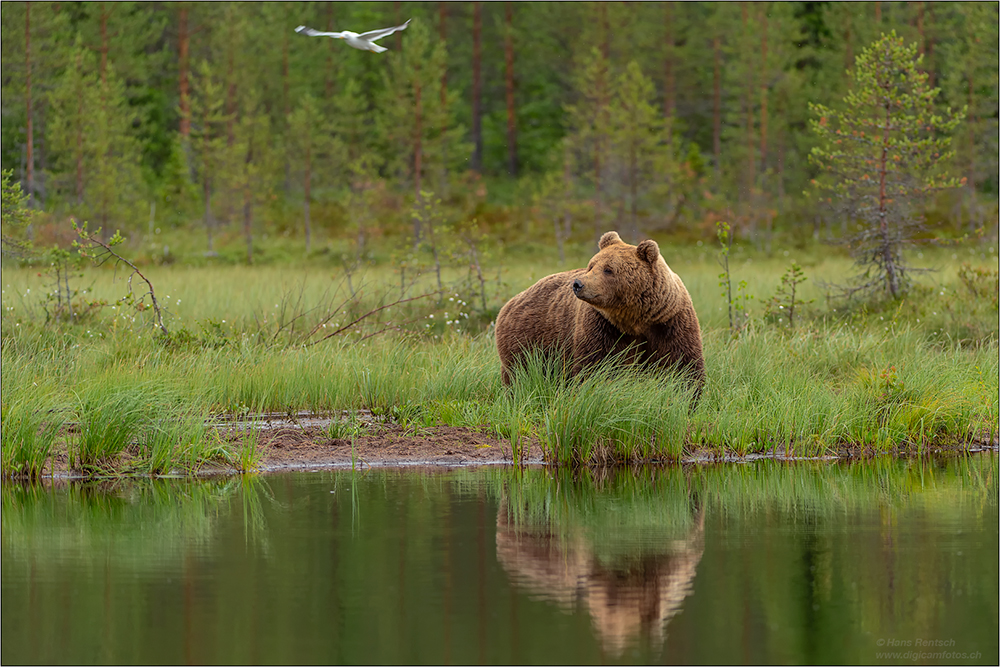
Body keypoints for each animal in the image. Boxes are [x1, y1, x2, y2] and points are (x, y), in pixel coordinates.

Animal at [496, 232, 708, 402]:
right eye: (591, 265)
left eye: (608, 269)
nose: (578, 284)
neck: (635, 318)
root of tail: (510, 303)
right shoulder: (603, 325)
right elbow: (597, 366)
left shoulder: (668, 322)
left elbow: (682, 365)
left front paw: (687, 400)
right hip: (528, 340)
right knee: (520, 374)